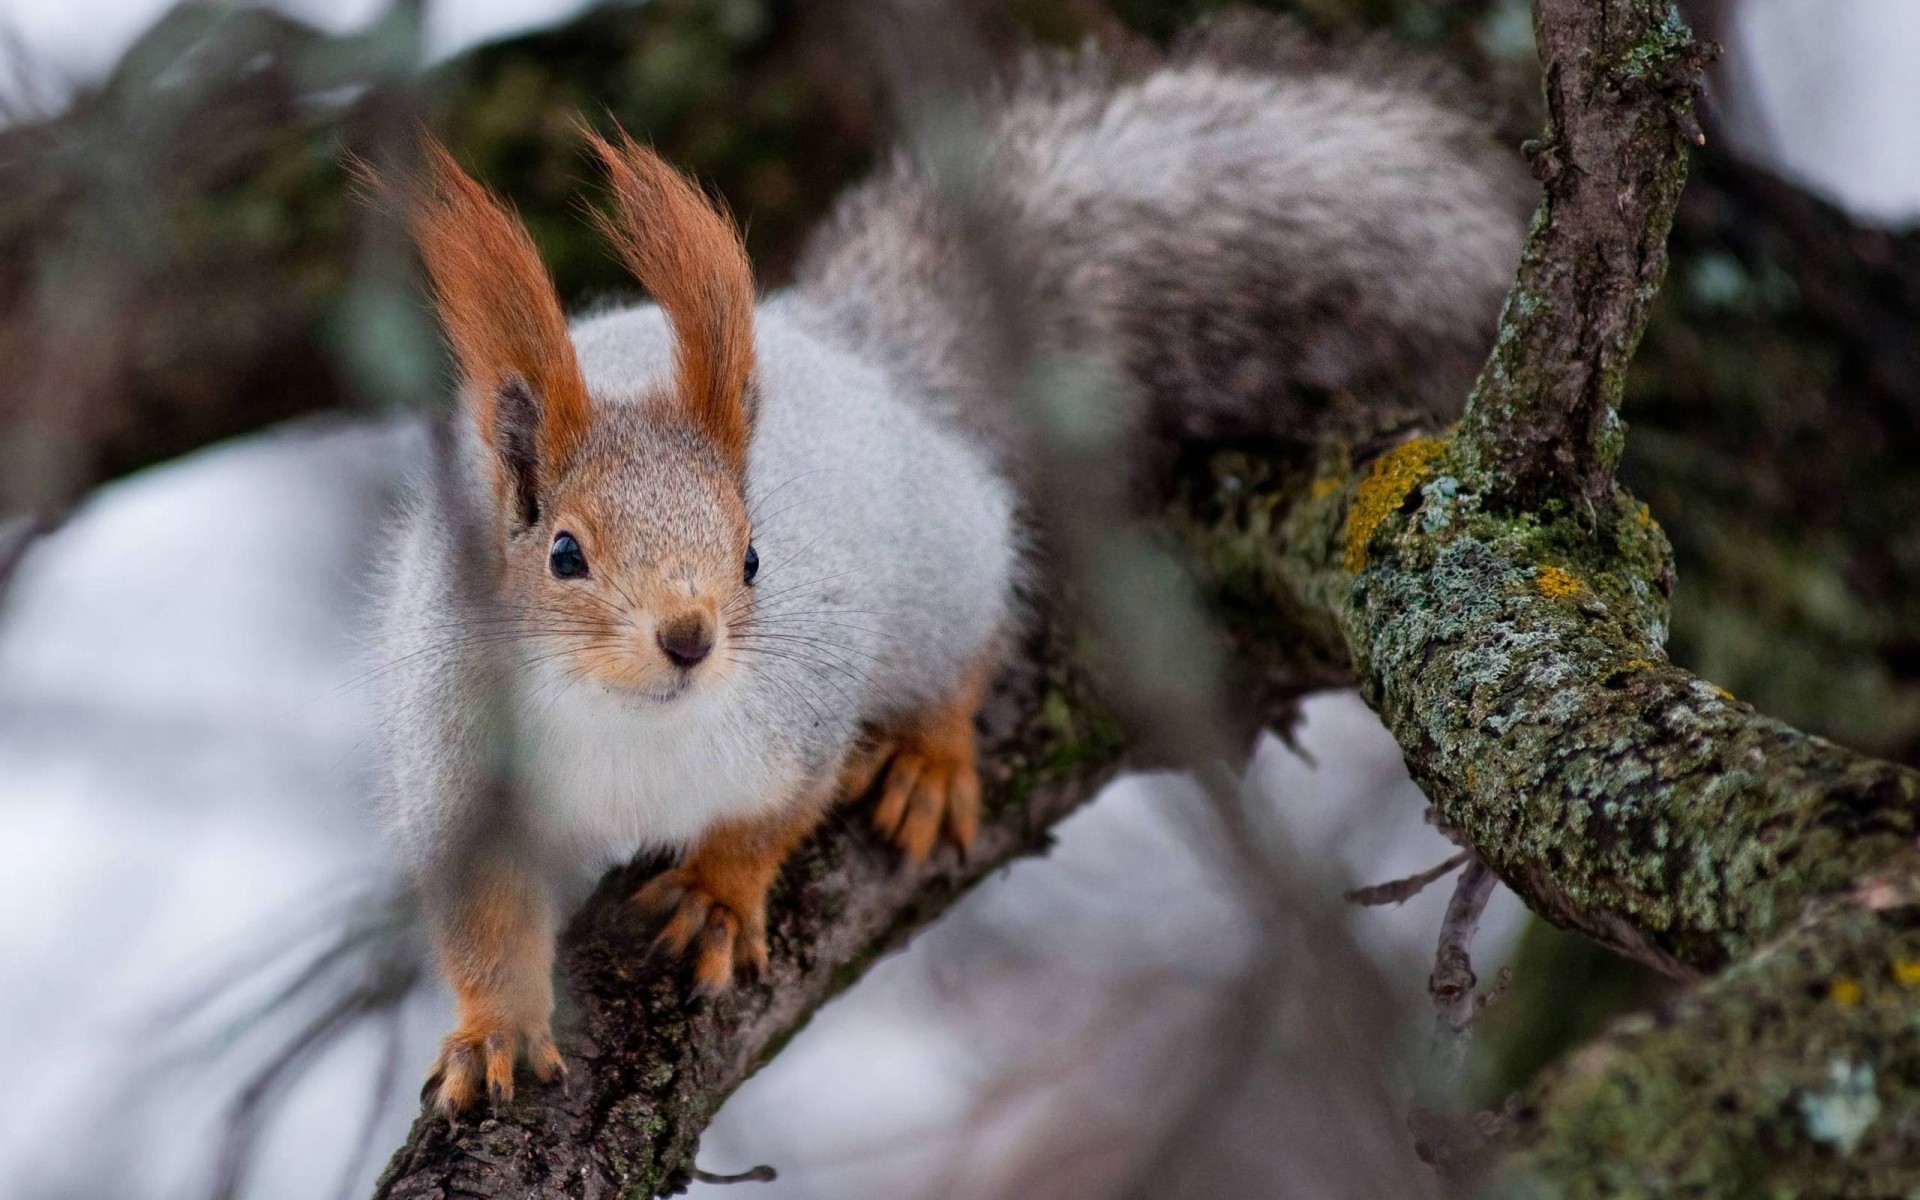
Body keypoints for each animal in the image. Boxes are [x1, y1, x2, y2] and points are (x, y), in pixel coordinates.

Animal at [370, 11, 1528, 1113]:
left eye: (753, 557)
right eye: (563, 552)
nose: (690, 640)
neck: (625, 723)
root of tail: (858, 355)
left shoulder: (803, 711)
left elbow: (772, 816)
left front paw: (720, 894)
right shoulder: (460, 769)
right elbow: (484, 922)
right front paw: (494, 1032)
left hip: (944, 573)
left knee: (971, 639)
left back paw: (930, 756)